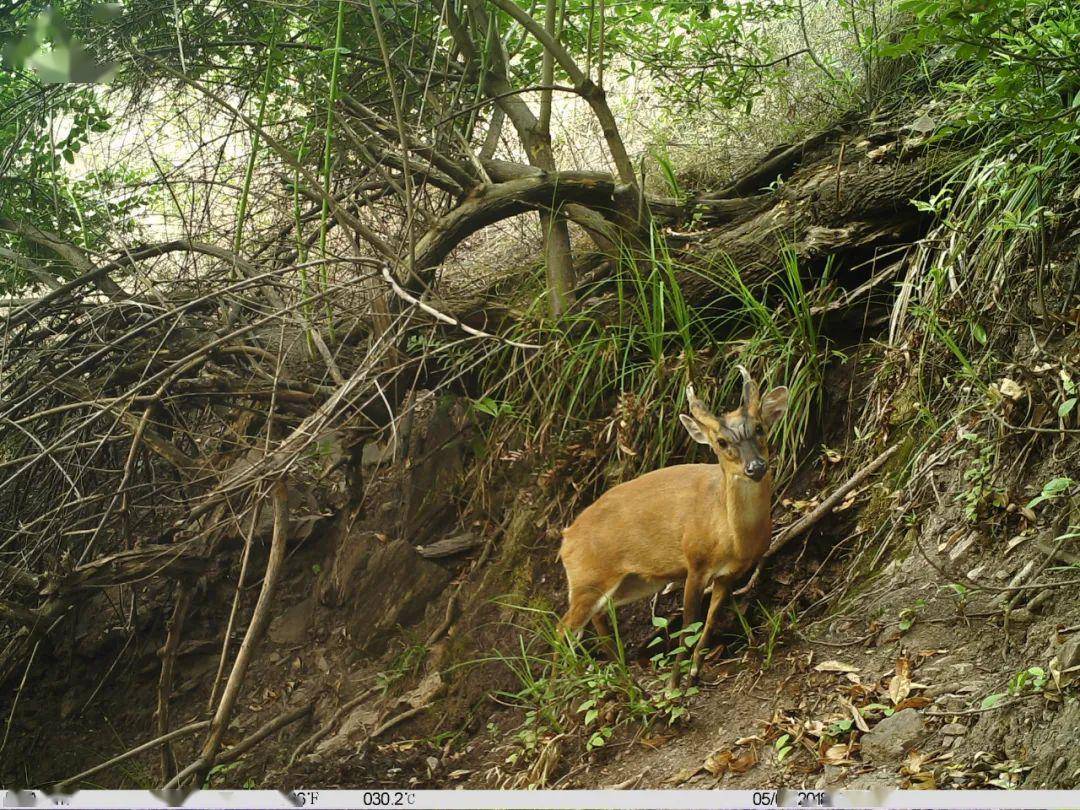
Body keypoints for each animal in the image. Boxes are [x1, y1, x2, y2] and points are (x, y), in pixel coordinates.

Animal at [557, 371, 786, 686]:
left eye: (760, 428)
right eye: (721, 441)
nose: (755, 467)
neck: (732, 538)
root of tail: (566, 538)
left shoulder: (730, 574)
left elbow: (710, 620)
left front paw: (694, 672)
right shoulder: (695, 563)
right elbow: (688, 624)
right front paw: (673, 684)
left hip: (625, 584)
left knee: (597, 621)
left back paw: (624, 679)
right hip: (587, 578)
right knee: (562, 629)